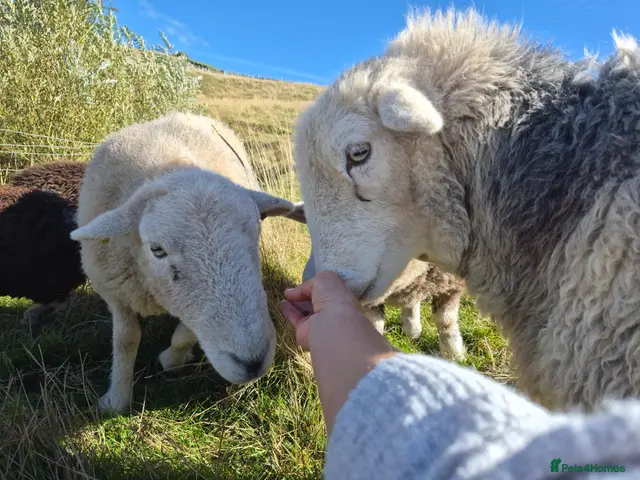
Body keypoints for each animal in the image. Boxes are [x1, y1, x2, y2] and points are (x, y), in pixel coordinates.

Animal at [70, 111, 300, 412]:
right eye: (156, 249)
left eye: (256, 228)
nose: (252, 363)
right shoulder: (115, 292)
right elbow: (125, 339)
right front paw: (116, 399)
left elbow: (185, 334)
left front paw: (171, 359)